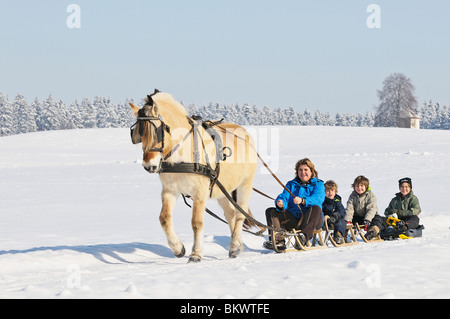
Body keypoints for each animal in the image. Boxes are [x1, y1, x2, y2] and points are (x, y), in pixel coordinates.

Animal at [130, 89, 256, 262]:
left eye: (157, 132)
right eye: (138, 133)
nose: (149, 166)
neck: (182, 152)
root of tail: (244, 132)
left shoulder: (200, 192)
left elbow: (196, 222)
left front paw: (196, 254)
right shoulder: (170, 190)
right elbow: (164, 218)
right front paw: (178, 248)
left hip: (245, 183)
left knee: (239, 213)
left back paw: (236, 245)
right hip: (222, 189)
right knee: (230, 213)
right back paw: (235, 246)